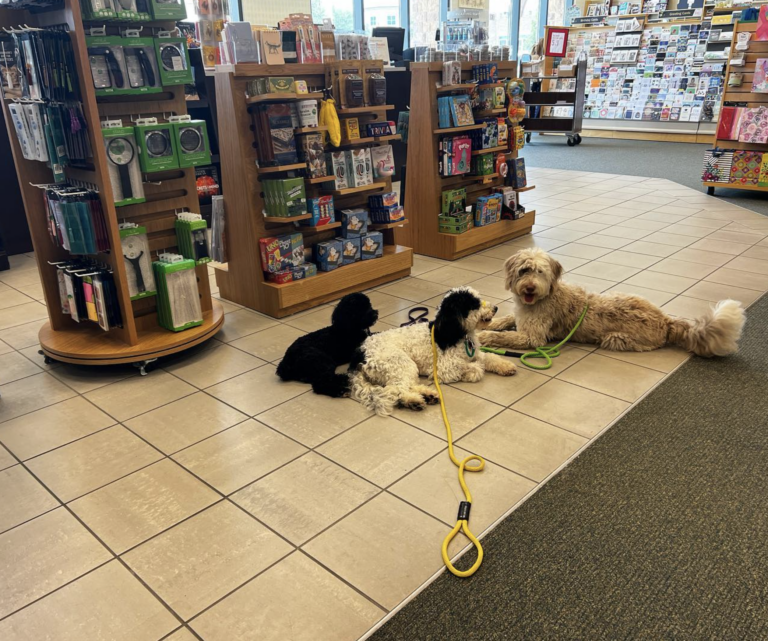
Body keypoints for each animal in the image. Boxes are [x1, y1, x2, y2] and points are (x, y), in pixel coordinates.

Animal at [476, 246, 748, 356]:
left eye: (540, 272)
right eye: (524, 270)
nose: (530, 287)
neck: (544, 297)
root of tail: (667, 321)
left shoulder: (533, 338)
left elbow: (506, 337)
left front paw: (484, 335)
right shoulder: (520, 316)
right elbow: (506, 319)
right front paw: (489, 324)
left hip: (616, 339)